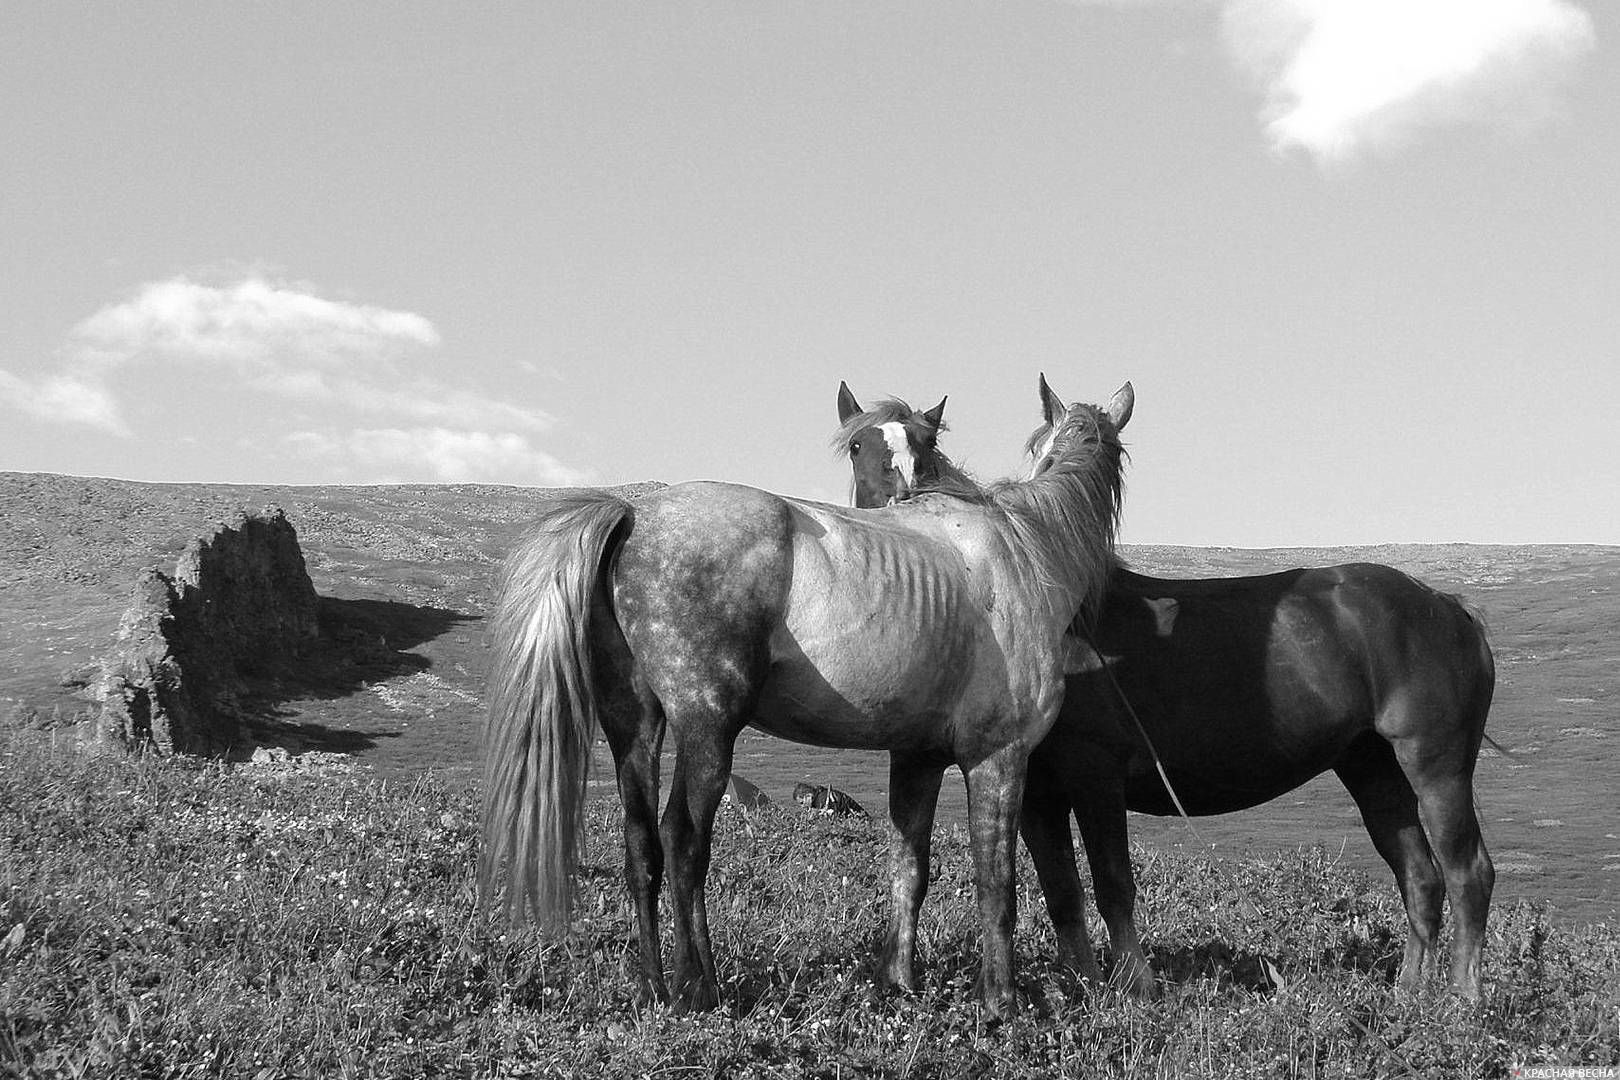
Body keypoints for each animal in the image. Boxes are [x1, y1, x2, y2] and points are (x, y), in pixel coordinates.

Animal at [486, 374, 1134, 1016]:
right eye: (858, 446)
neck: (1026, 549)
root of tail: (633, 514)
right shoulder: (997, 756)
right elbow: (996, 882)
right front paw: (1000, 1001)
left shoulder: (918, 758)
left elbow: (909, 869)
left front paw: (898, 983)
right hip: (707, 729)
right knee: (683, 840)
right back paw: (697, 985)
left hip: (634, 727)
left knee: (641, 842)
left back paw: (652, 985)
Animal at [842, 382, 1496, 1003]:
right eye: (857, 447)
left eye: (921, 446)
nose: (890, 515)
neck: (1057, 607)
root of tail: (1447, 607)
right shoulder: (1037, 791)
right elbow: (1061, 890)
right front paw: (1083, 986)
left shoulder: (1096, 777)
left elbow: (1112, 883)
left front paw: (1136, 985)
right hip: (1369, 766)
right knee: (1419, 876)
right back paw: (1408, 996)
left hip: (1435, 763)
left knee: (1468, 872)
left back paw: (1462, 1000)